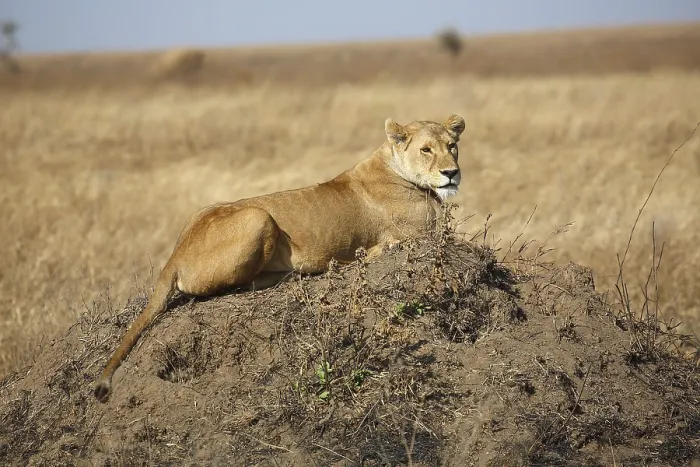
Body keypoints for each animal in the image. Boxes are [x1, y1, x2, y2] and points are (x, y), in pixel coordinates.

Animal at [93, 113, 465, 403]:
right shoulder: (423, 232)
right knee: (225, 287)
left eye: (452, 145)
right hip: (257, 217)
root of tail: (175, 253)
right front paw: (372, 252)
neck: (393, 165)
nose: (452, 173)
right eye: (426, 149)